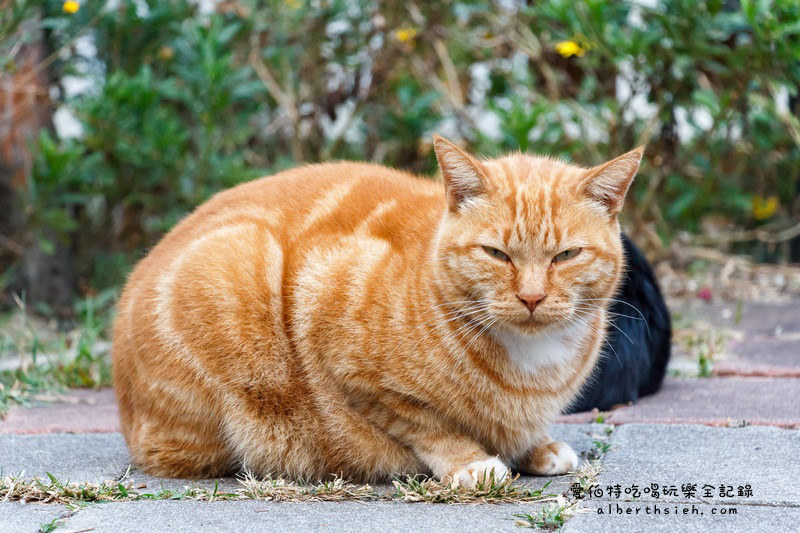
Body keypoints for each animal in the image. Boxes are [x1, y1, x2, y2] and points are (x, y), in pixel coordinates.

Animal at [111, 137, 644, 486]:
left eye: (566, 256)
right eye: (496, 254)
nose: (531, 297)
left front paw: (535, 446)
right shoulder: (340, 341)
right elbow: (425, 422)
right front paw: (470, 461)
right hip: (237, 260)